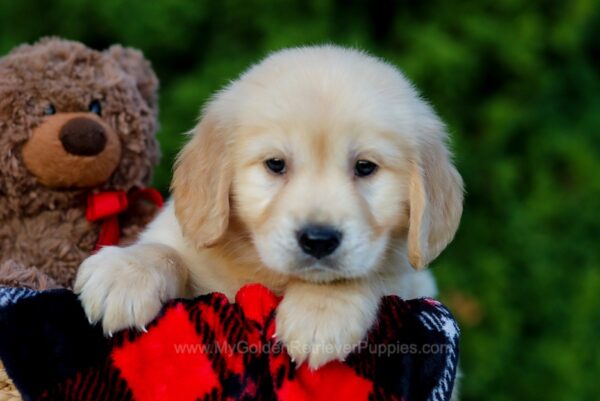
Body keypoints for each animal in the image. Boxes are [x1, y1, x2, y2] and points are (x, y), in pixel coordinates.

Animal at [75, 46, 464, 368]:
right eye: (275, 164)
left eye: (365, 167)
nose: (319, 240)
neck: (266, 273)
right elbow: (166, 251)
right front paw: (125, 272)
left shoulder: (408, 279)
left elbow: (364, 274)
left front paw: (320, 310)